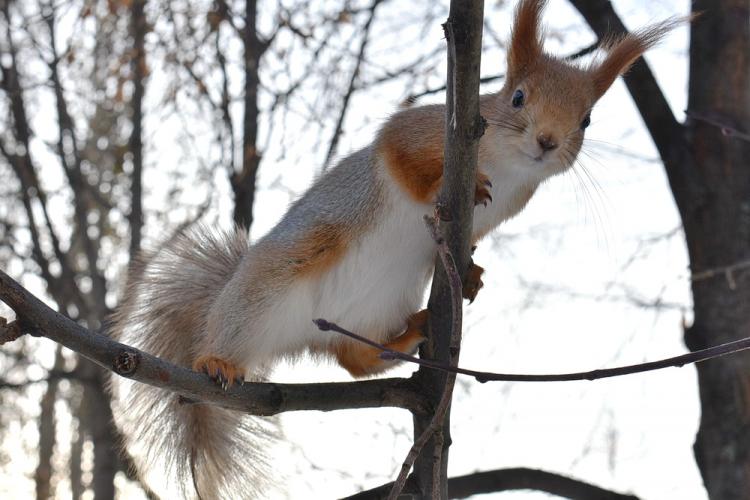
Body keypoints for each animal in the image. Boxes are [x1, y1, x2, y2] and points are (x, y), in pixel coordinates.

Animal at [107, 1, 688, 498]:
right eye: (517, 97)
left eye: (586, 119)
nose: (548, 141)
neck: (507, 165)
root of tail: (303, 330)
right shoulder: (423, 130)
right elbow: (402, 161)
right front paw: (456, 187)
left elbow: (468, 242)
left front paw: (470, 272)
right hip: (281, 273)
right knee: (243, 320)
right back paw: (217, 359)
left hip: (377, 306)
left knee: (354, 361)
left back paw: (410, 332)